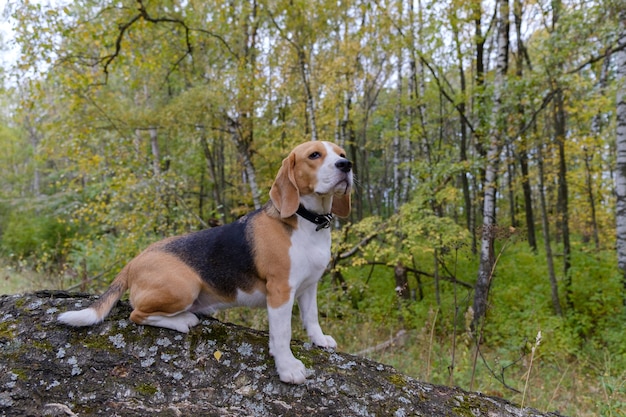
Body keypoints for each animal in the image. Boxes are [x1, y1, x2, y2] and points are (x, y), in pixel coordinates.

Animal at [57, 141, 352, 384]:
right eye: (314, 155)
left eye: (341, 153)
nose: (346, 165)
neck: (308, 222)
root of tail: (135, 259)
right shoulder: (280, 291)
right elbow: (282, 334)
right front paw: (288, 367)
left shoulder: (309, 286)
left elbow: (311, 317)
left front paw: (319, 340)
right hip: (185, 286)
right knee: (136, 314)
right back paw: (182, 321)